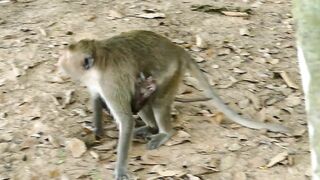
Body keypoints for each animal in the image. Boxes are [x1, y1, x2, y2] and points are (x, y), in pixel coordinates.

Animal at [58, 30, 290, 179]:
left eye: (66, 59)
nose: (59, 63)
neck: (99, 61)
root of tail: (178, 50)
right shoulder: (96, 82)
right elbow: (97, 99)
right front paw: (97, 130)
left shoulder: (110, 81)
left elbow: (125, 119)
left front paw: (121, 169)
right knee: (145, 97)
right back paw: (148, 128)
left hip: (171, 73)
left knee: (157, 101)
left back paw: (162, 131)